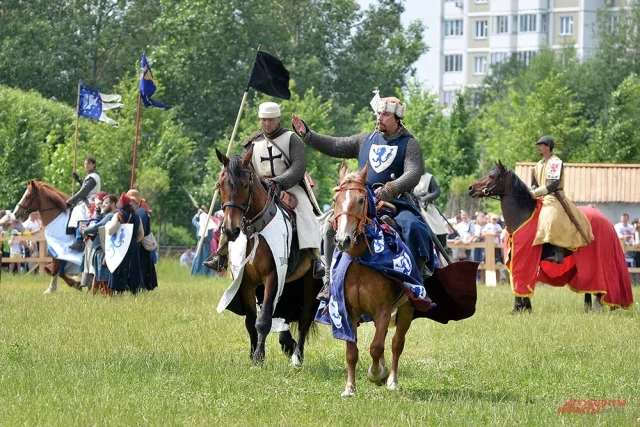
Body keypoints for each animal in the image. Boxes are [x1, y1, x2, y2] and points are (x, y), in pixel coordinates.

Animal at [215, 147, 322, 364]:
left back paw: (297, 356)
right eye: (220, 185)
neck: (254, 232)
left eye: (245, 185)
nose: (230, 230)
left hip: (308, 283)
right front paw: (253, 354)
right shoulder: (246, 283)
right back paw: (288, 344)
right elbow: (251, 321)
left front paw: (258, 357)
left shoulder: (273, 276)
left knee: (305, 318)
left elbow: (263, 320)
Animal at [468, 162, 632, 312]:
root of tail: (607, 220)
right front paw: (525, 307)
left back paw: (597, 306)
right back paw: (587, 307)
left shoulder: (523, 257)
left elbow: (520, 280)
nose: (471, 189)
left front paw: (518, 308)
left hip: (597, 259)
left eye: (491, 176)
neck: (523, 216)